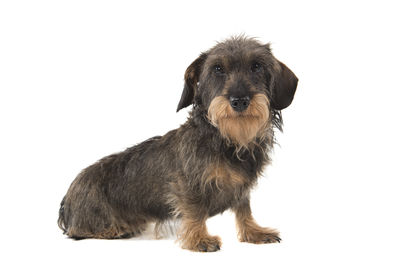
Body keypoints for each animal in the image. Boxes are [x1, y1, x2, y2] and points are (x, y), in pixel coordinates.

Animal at [58, 36, 296, 253]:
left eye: (257, 66)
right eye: (217, 69)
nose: (239, 101)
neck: (226, 140)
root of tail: (67, 199)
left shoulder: (242, 189)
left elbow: (244, 210)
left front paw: (254, 232)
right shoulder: (187, 185)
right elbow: (195, 211)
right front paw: (199, 239)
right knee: (79, 231)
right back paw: (116, 229)